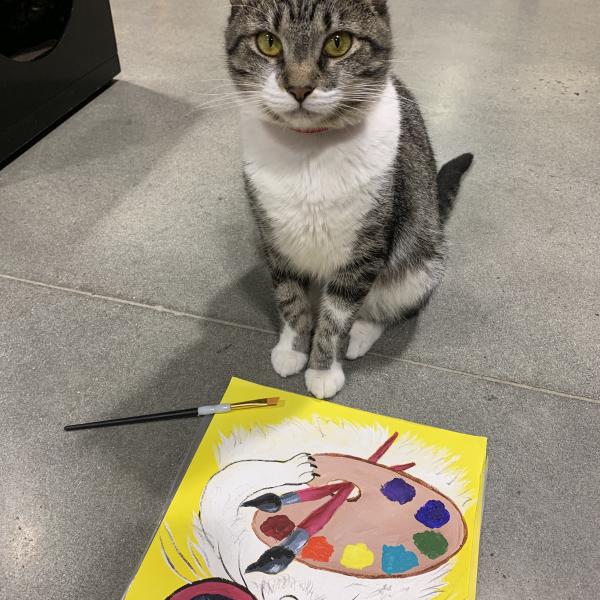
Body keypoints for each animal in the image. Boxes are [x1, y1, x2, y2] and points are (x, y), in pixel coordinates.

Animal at [225, 0, 473, 398]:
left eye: (338, 43)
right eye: (268, 42)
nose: (299, 87)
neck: (309, 153)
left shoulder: (364, 251)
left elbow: (337, 316)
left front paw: (324, 369)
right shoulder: (276, 240)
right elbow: (291, 299)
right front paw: (292, 348)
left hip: (420, 262)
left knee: (389, 306)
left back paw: (359, 335)